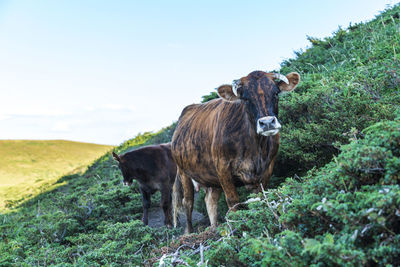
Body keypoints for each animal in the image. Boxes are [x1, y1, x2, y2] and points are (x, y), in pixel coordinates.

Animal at [170, 70, 298, 233]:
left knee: (210, 200)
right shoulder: (223, 168)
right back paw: (189, 232)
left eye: (276, 93)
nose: (267, 123)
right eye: (245, 99)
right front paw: (236, 225)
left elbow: (259, 198)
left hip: (210, 178)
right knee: (188, 202)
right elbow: (233, 201)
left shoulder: (267, 168)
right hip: (184, 172)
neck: (255, 148)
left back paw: (214, 228)